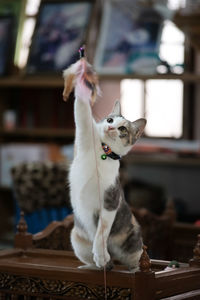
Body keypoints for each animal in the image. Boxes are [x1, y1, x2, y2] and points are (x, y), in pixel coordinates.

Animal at [64, 58, 147, 272]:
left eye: (123, 128)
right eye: (110, 119)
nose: (110, 127)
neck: (103, 152)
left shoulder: (110, 201)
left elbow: (101, 232)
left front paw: (101, 254)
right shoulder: (85, 133)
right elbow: (82, 111)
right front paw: (82, 74)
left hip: (134, 241)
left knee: (136, 260)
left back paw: (129, 267)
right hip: (76, 237)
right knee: (100, 263)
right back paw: (93, 266)